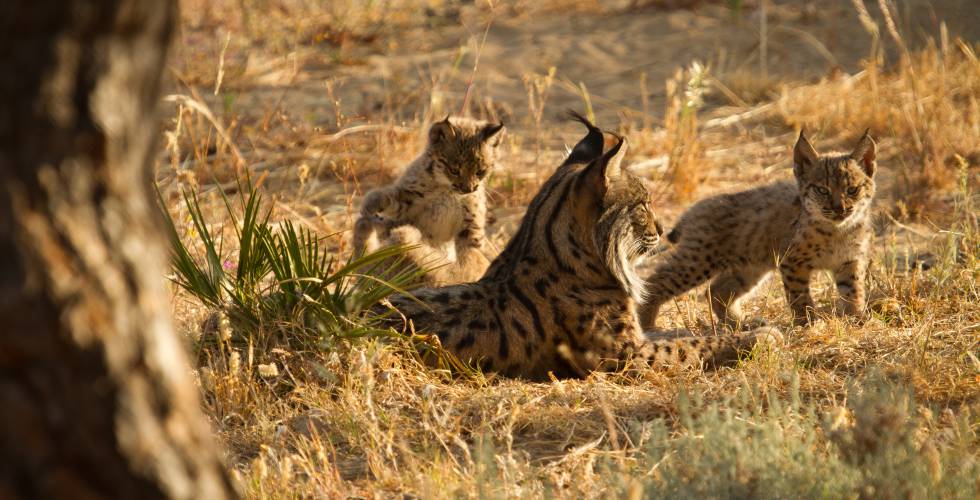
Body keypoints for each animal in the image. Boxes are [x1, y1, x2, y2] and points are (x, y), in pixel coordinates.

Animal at [640, 130, 876, 328]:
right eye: (822, 190)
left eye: (852, 190)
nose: (840, 209)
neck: (838, 230)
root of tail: (695, 208)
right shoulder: (792, 262)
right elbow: (800, 296)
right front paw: (806, 324)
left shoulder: (849, 260)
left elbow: (853, 291)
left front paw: (856, 319)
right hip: (699, 260)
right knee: (654, 282)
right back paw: (647, 326)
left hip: (749, 265)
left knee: (716, 290)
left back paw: (739, 323)